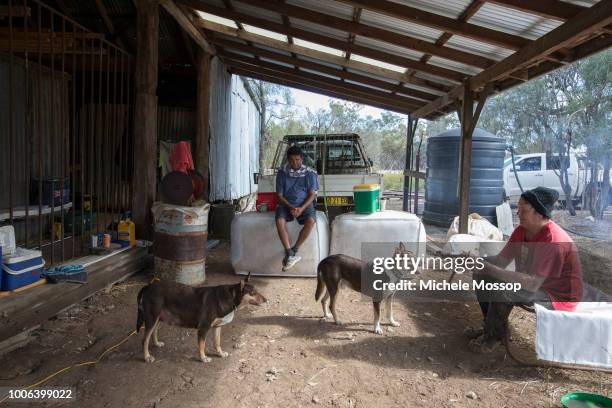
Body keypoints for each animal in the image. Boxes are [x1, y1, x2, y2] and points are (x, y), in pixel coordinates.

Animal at [136, 274, 266, 364]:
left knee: (154, 332)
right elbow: (202, 345)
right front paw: (203, 358)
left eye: (257, 290)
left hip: (158, 318)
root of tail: (148, 286)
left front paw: (220, 353)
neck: (230, 297)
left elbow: (217, 342)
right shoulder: (204, 327)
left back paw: (157, 343)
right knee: (144, 339)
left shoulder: (217, 326)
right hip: (152, 318)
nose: (266, 300)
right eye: (253, 293)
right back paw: (147, 357)